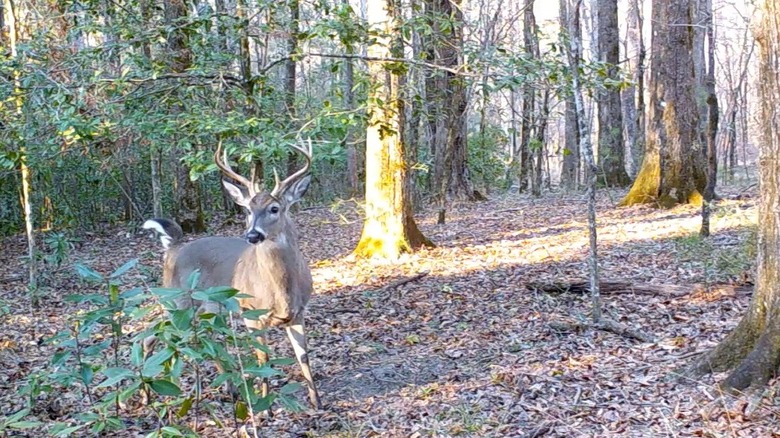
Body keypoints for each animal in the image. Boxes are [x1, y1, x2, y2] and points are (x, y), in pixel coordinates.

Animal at [142, 139, 321, 410]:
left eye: (274, 208)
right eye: (247, 210)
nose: (253, 235)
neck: (282, 292)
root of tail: (173, 247)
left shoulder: (299, 313)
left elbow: (304, 357)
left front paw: (317, 402)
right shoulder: (251, 312)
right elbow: (263, 358)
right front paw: (265, 408)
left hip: (208, 307)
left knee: (206, 339)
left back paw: (226, 391)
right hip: (177, 299)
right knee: (153, 336)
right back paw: (146, 396)